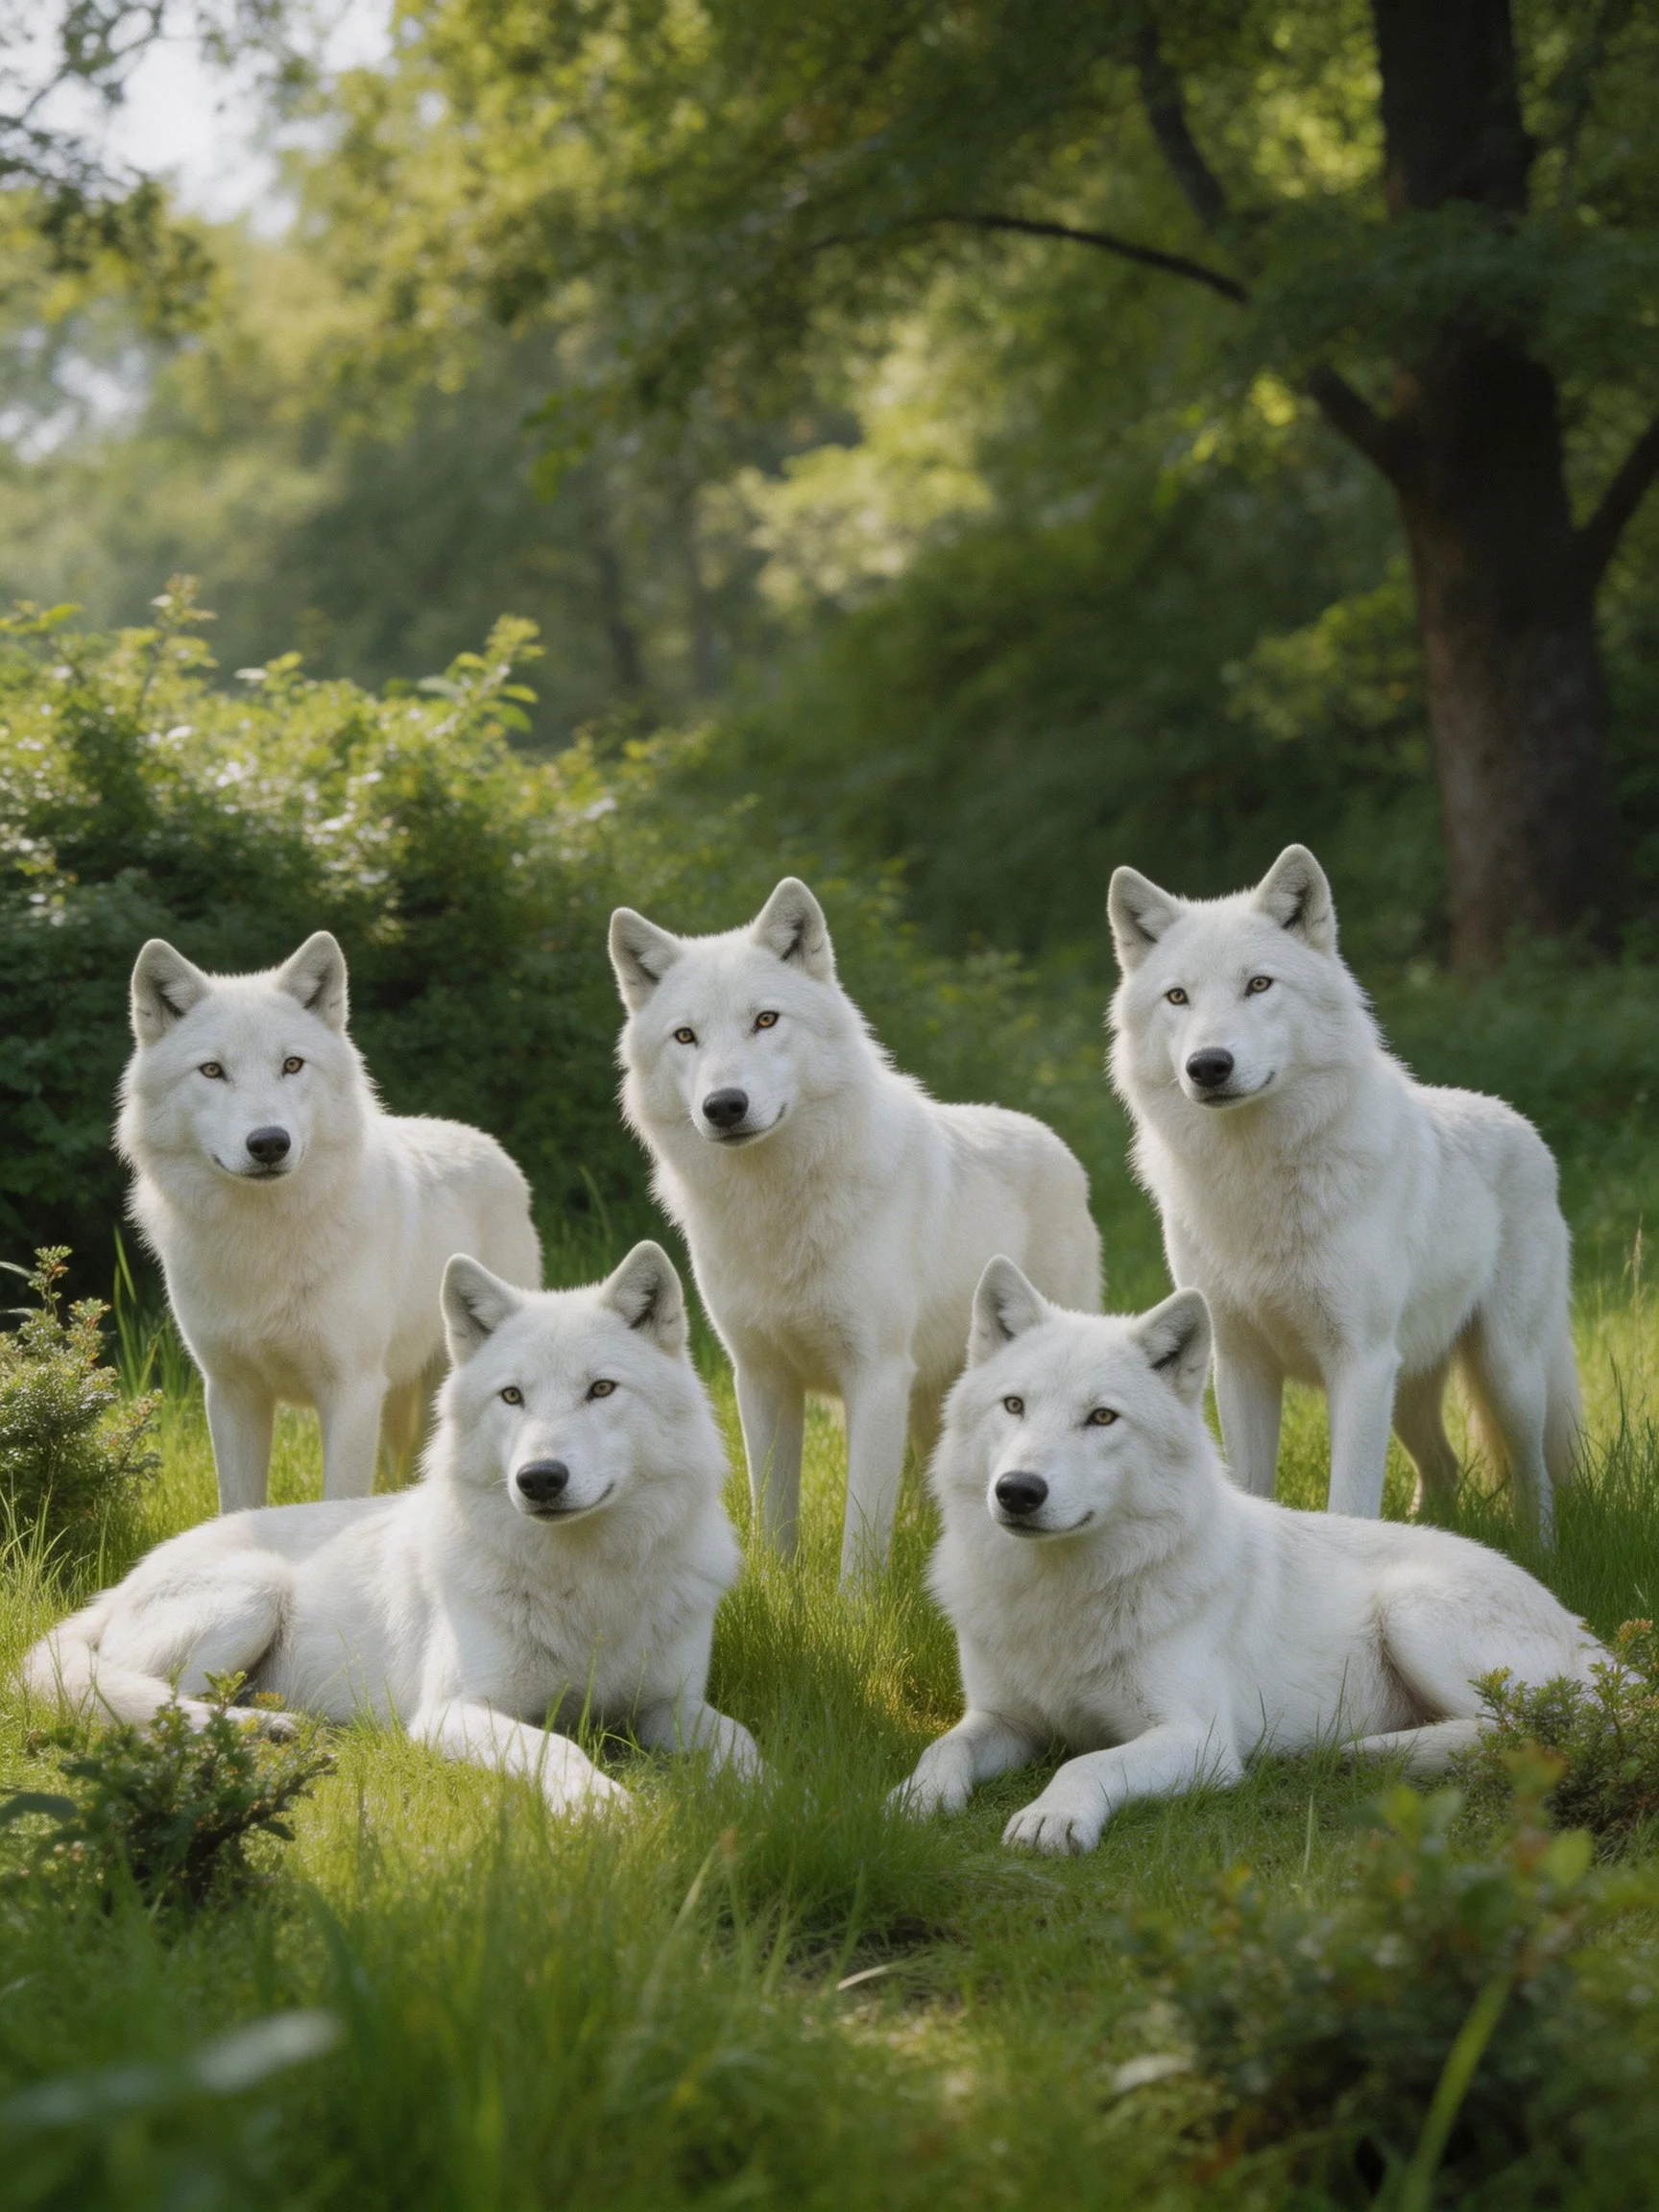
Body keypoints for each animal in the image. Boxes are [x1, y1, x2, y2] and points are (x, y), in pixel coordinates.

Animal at [26, 1245, 759, 1811]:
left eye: (601, 1389)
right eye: (512, 1397)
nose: (539, 1479)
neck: (587, 1580)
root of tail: (119, 1588)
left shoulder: (668, 1706)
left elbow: (745, 1747)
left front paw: (779, 1806)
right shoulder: (453, 1713)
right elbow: (561, 1749)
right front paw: (604, 1809)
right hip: (253, 1593)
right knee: (155, 1704)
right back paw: (267, 1730)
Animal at [117, 931, 541, 1511]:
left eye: (292, 1065)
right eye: (212, 1071)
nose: (269, 1143)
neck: (264, 1239)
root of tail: (487, 1143)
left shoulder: (353, 1392)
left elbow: (338, 1499)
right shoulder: (230, 1393)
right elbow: (238, 1506)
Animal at [609, 877, 1103, 1576]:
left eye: (765, 1020)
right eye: (686, 1037)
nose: (724, 1106)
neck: (778, 1205)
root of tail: (1049, 1137)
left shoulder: (876, 1377)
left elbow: (862, 1535)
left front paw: (858, 1602)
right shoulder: (759, 1379)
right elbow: (771, 1517)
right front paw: (779, 1591)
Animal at [895, 1262, 1599, 1854]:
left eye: (1101, 1418)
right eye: (1014, 1405)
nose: (1017, 1491)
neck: (1059, 1593)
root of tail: (1592, 1639)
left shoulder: (1199, 1740)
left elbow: (1086, 1760)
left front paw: (1051, 1816)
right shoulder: (1002, 1719)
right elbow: (941, 1750)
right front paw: (916, 1800)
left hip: (1413, 1611)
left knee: (1529, 1733)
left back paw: (1370, 1748)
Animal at [1107, 845, 1580, 1538]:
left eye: (1259, 985)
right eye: (1178, 997)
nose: (1208, 1066)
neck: (1257, 1174)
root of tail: (1519, 1122)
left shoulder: (1359, 1364)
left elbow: (1350, 1502)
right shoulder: (1240, 1367)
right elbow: (1252, 1486)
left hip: (1505, 1372)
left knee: (1535, 1476)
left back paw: (1541, 1548)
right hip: (1407, 1388)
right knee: (1445, 1470)